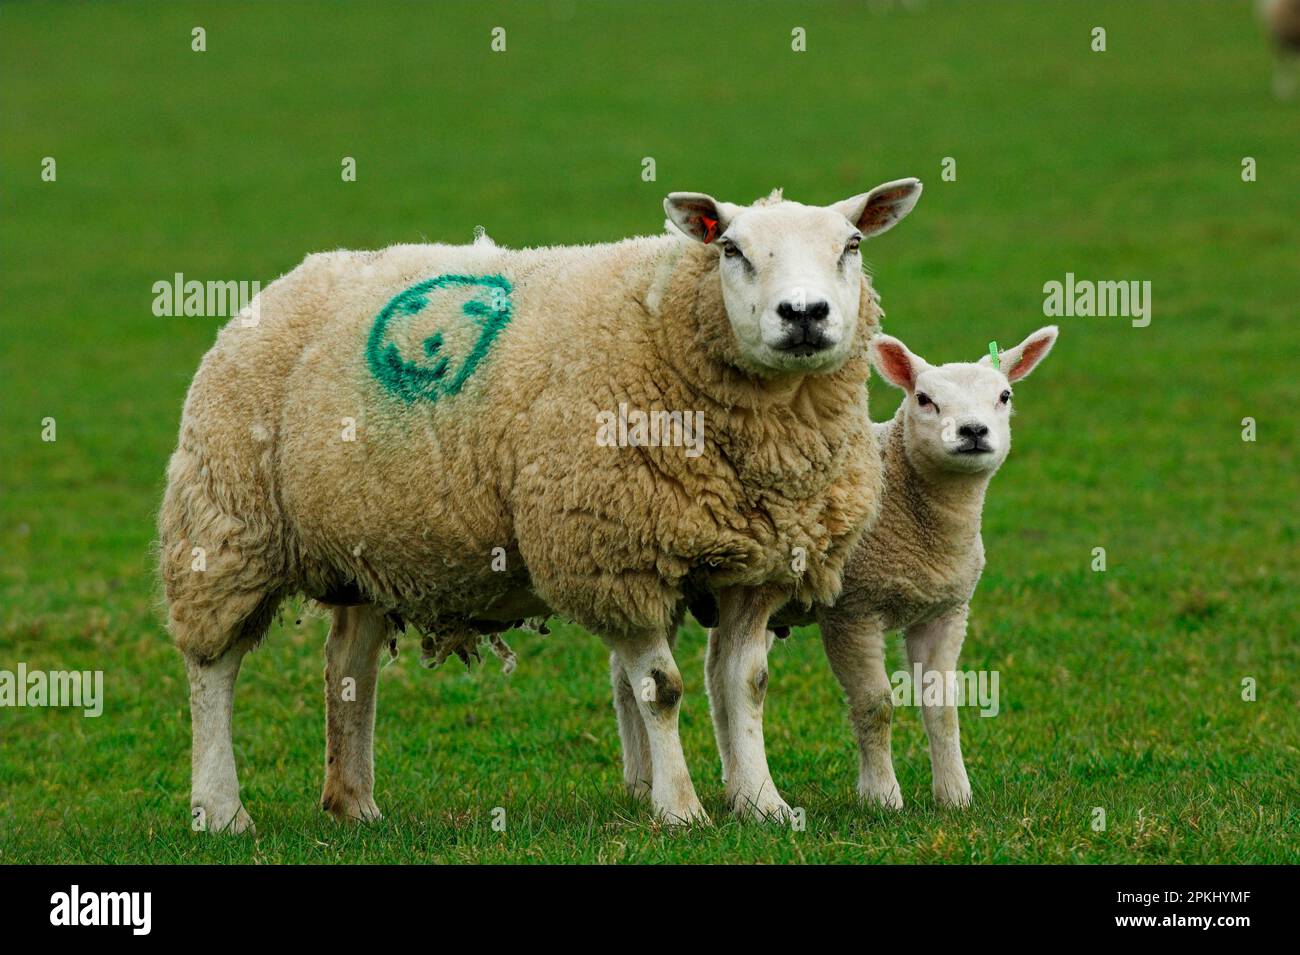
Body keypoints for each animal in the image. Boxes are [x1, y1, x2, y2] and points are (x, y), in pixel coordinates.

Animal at [159, 178, 924, 833]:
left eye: (852, 244)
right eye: (730, 248)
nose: (804, 315)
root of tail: (292, 278)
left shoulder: (758, 563)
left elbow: (747, 684)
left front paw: (762, 802)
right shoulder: (616, 559)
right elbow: (662, 688)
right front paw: (680, 809)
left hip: (369, 541)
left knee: (348, 665)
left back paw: (354, 805)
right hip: (229, 525)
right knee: (212, 670)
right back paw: (221, 810)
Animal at [682, 327, 1057, 813]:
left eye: (1004, 395)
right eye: (924, 399)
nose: (973, 431)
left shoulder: (945, 612)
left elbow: (943, 706)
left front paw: (954, 795)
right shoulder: (852, 610)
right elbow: (875, 704)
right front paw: (882, 796)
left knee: (716, 675)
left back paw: (730, 785)